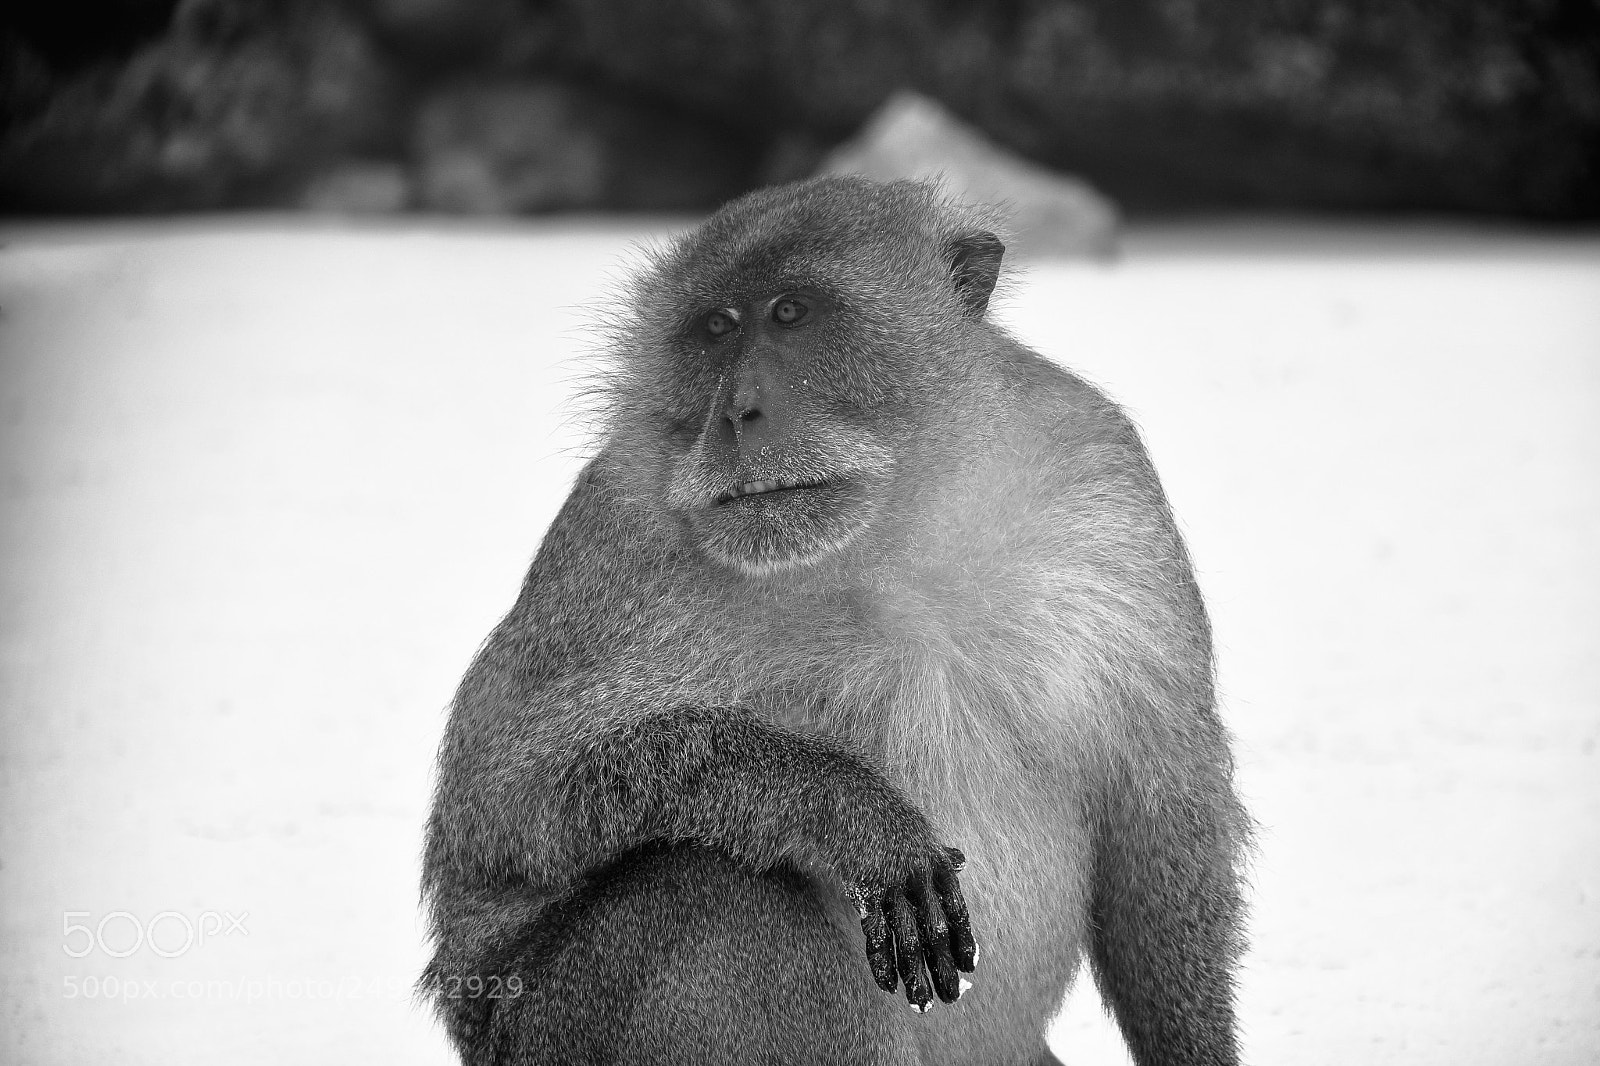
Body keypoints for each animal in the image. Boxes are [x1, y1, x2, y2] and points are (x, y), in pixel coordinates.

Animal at [420, 175, 1251, 1066]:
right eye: (717, 328)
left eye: (790, 313)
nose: (739, 412)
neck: (897, 518)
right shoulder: (617, 536)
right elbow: (501, 808)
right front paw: (849, 811)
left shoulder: (1103, 474)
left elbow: (1158, 805)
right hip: (550, 1024)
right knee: (711, 892)